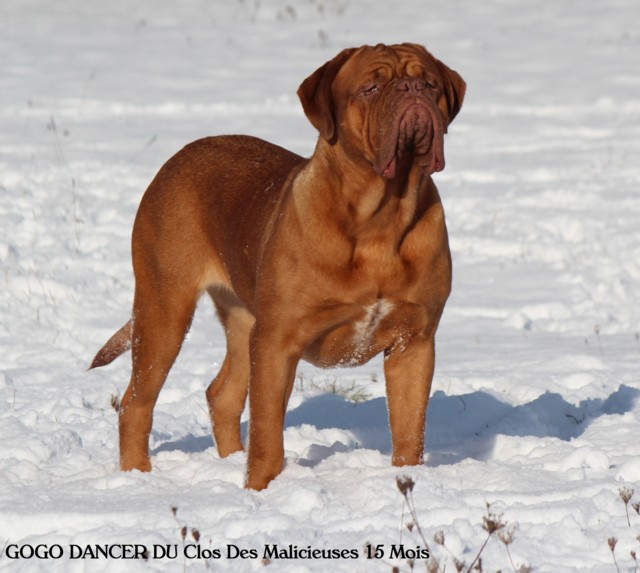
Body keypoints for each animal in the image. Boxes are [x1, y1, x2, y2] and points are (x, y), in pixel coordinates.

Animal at [91, 42, 464, 490]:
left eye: (429, 84)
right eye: (370, 88)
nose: (412, 90)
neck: (382, 219)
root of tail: (175, 159)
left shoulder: (414, 343)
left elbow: (409, 433)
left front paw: (408, 480)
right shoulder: (277, 343)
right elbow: (268, 433)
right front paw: (260, 490)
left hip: (241, 320)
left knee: (222, 395)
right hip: (164, 310)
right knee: (136, 402)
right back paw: (137, 479)